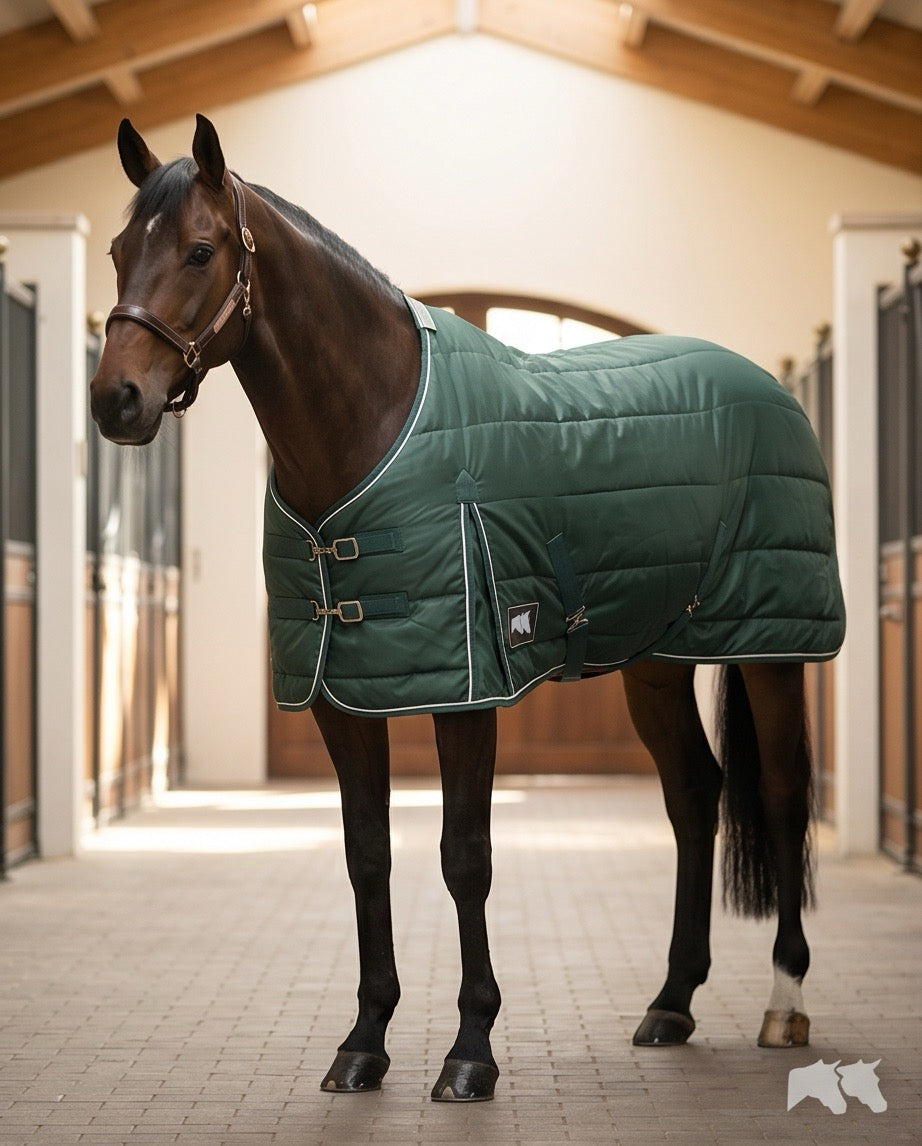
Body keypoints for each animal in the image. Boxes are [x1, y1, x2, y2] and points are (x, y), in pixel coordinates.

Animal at [90, 115, 843, 1103]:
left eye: (200, 250)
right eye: (115, 250)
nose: (115, 400)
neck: (371, 431)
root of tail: (769, 384)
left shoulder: (466, 690)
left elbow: (464, 858)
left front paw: (470, 1050)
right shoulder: (343, 699)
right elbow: (367, 855)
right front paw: (363, 1043)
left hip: (773, 647)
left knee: (786, 795)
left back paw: (785, 1002)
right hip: (654, 660)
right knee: (693, 794)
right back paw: (671, 1002)